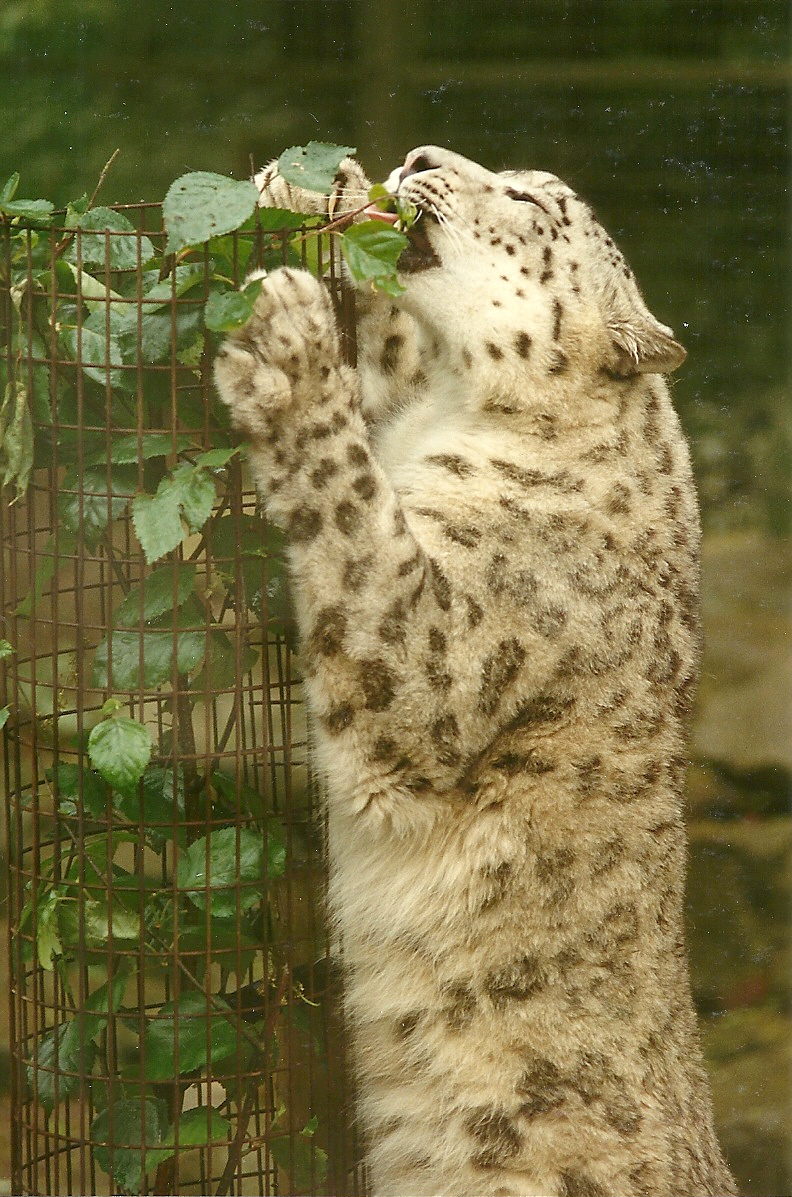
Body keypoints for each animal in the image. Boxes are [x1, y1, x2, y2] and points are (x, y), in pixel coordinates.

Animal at [214, 145, 737, 1197]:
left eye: (533, 200)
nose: (418, 157)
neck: (454, 413)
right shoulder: (406, 405)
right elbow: (390, 355)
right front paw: (312, 192)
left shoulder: (436, 659)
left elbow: (358, 521)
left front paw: (293, 353)